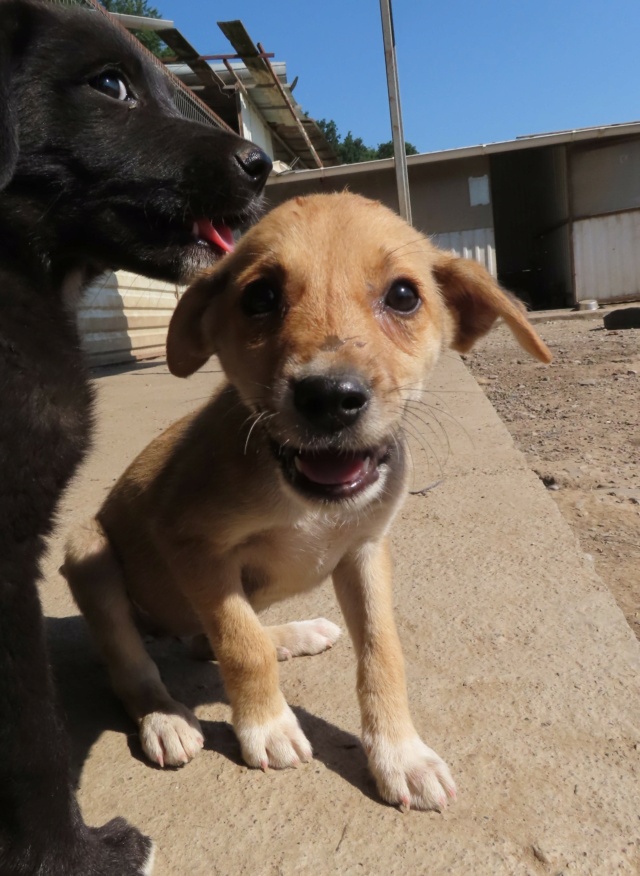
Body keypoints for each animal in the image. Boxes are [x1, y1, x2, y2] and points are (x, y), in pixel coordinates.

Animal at [65, 195, 552, 812]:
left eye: (403, 295)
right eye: (260, 297)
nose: (329, 398)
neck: (306, 499)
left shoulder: (366, 551)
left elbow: (381, 654)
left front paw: (401, 755)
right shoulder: (190, 544)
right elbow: (240, 644)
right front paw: (267, 725)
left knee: (200, 641)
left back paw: (292, 636)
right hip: (88, 552)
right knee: (133, 664)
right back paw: (165, 717)